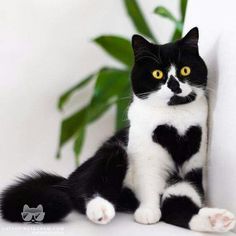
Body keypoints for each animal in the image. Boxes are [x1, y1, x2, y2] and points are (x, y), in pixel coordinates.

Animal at [0, 27, 235, 232]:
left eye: (185, 70)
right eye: (158, 74)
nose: (175, 85)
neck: (173, 118)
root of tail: (67, 180)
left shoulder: (191, 170)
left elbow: (178, 202)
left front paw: (216, 219)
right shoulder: (145, 158)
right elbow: (149, 184)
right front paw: (148, 212)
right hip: (114, 150)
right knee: (87, 188)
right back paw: (101, 210)